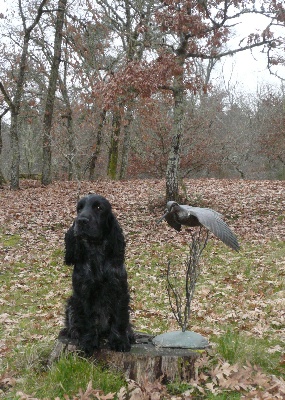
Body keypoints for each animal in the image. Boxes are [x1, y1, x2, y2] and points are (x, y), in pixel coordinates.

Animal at [60, 194, 133, 354]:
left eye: (99, 207)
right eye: (79, 208)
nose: (81, 221)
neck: (96, 251)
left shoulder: (119, 290)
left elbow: (119, 319)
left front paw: (119, 341)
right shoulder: (83, 293)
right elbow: (87, 320)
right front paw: (88, 342)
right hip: (71, 303)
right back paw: (73, 332)